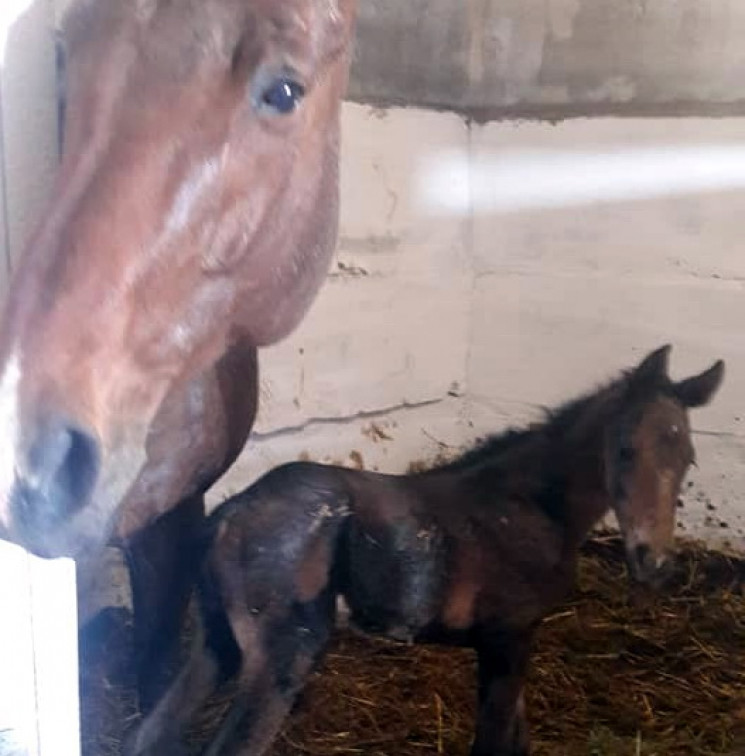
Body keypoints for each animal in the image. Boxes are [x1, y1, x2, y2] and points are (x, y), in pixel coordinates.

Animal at [128, 346, 720, 756]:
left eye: (689, 457)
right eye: (625, 450)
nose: (653, 562)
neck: (529, 506)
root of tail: (228, 516)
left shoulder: (515, 638)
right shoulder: (507, 636)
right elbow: (493, 745)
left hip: (218, 641)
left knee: (150, 734)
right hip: (282, 654)